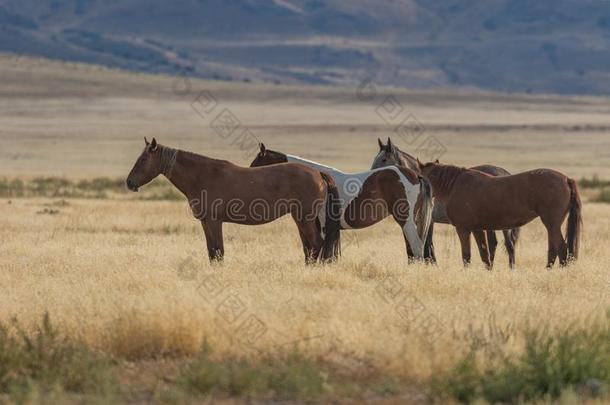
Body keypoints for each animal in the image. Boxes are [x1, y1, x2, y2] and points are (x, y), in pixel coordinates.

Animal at [125, 138, 340, 266]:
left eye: (143, 159)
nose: (129, 182)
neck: (203, 175)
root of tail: (318, 173)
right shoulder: (206, 222)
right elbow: (212, 252)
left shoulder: (214, 221)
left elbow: (218, 251)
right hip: (302, 219)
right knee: (311, 247)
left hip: (304, 218)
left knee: (315, 244)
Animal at [370, 138, 516, 268]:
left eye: (383, 159)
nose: (371, 175)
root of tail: (503, 172)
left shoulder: (425, 220)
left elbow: (424, 244)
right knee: (500, 244)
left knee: (506, 245)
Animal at [416, 160, 580, 268]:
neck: (455, 185)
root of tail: (566, 179)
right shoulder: (477, 229)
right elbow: (484, 254)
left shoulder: (463, 229)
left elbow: (466, 256)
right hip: (551, 225)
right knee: (553, 249)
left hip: (551, 223)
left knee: (562, 248)